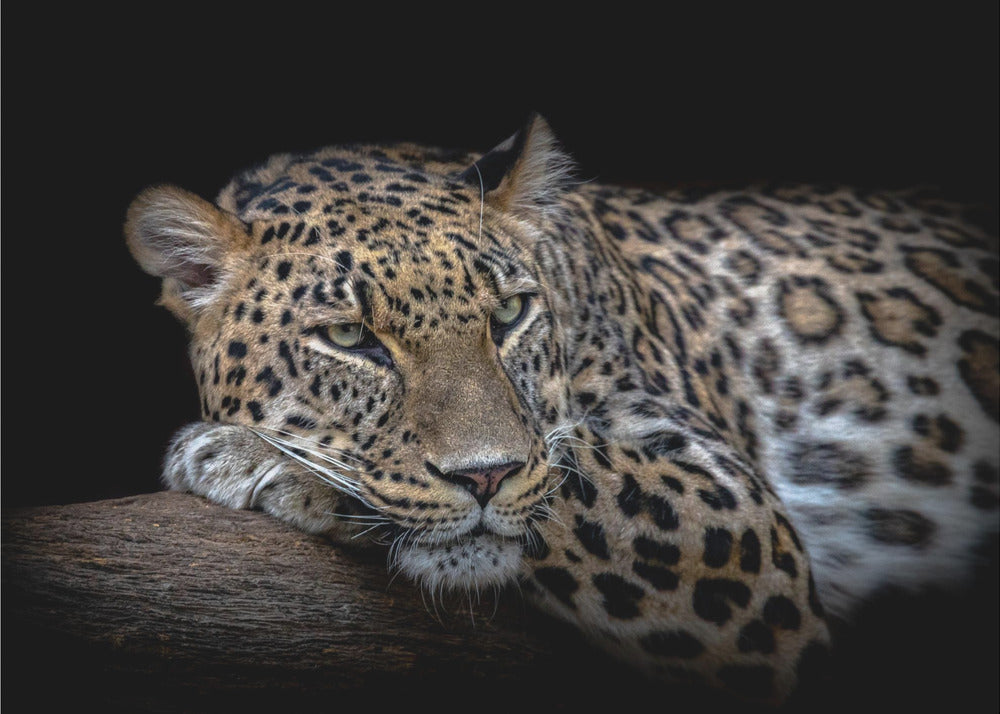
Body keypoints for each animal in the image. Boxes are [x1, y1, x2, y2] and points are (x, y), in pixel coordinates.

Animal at [127, 114, 1000, 704]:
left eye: (511, 313)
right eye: (349, 336)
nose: (485, 477)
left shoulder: (734, 517)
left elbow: (571, 474)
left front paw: (253, 457)